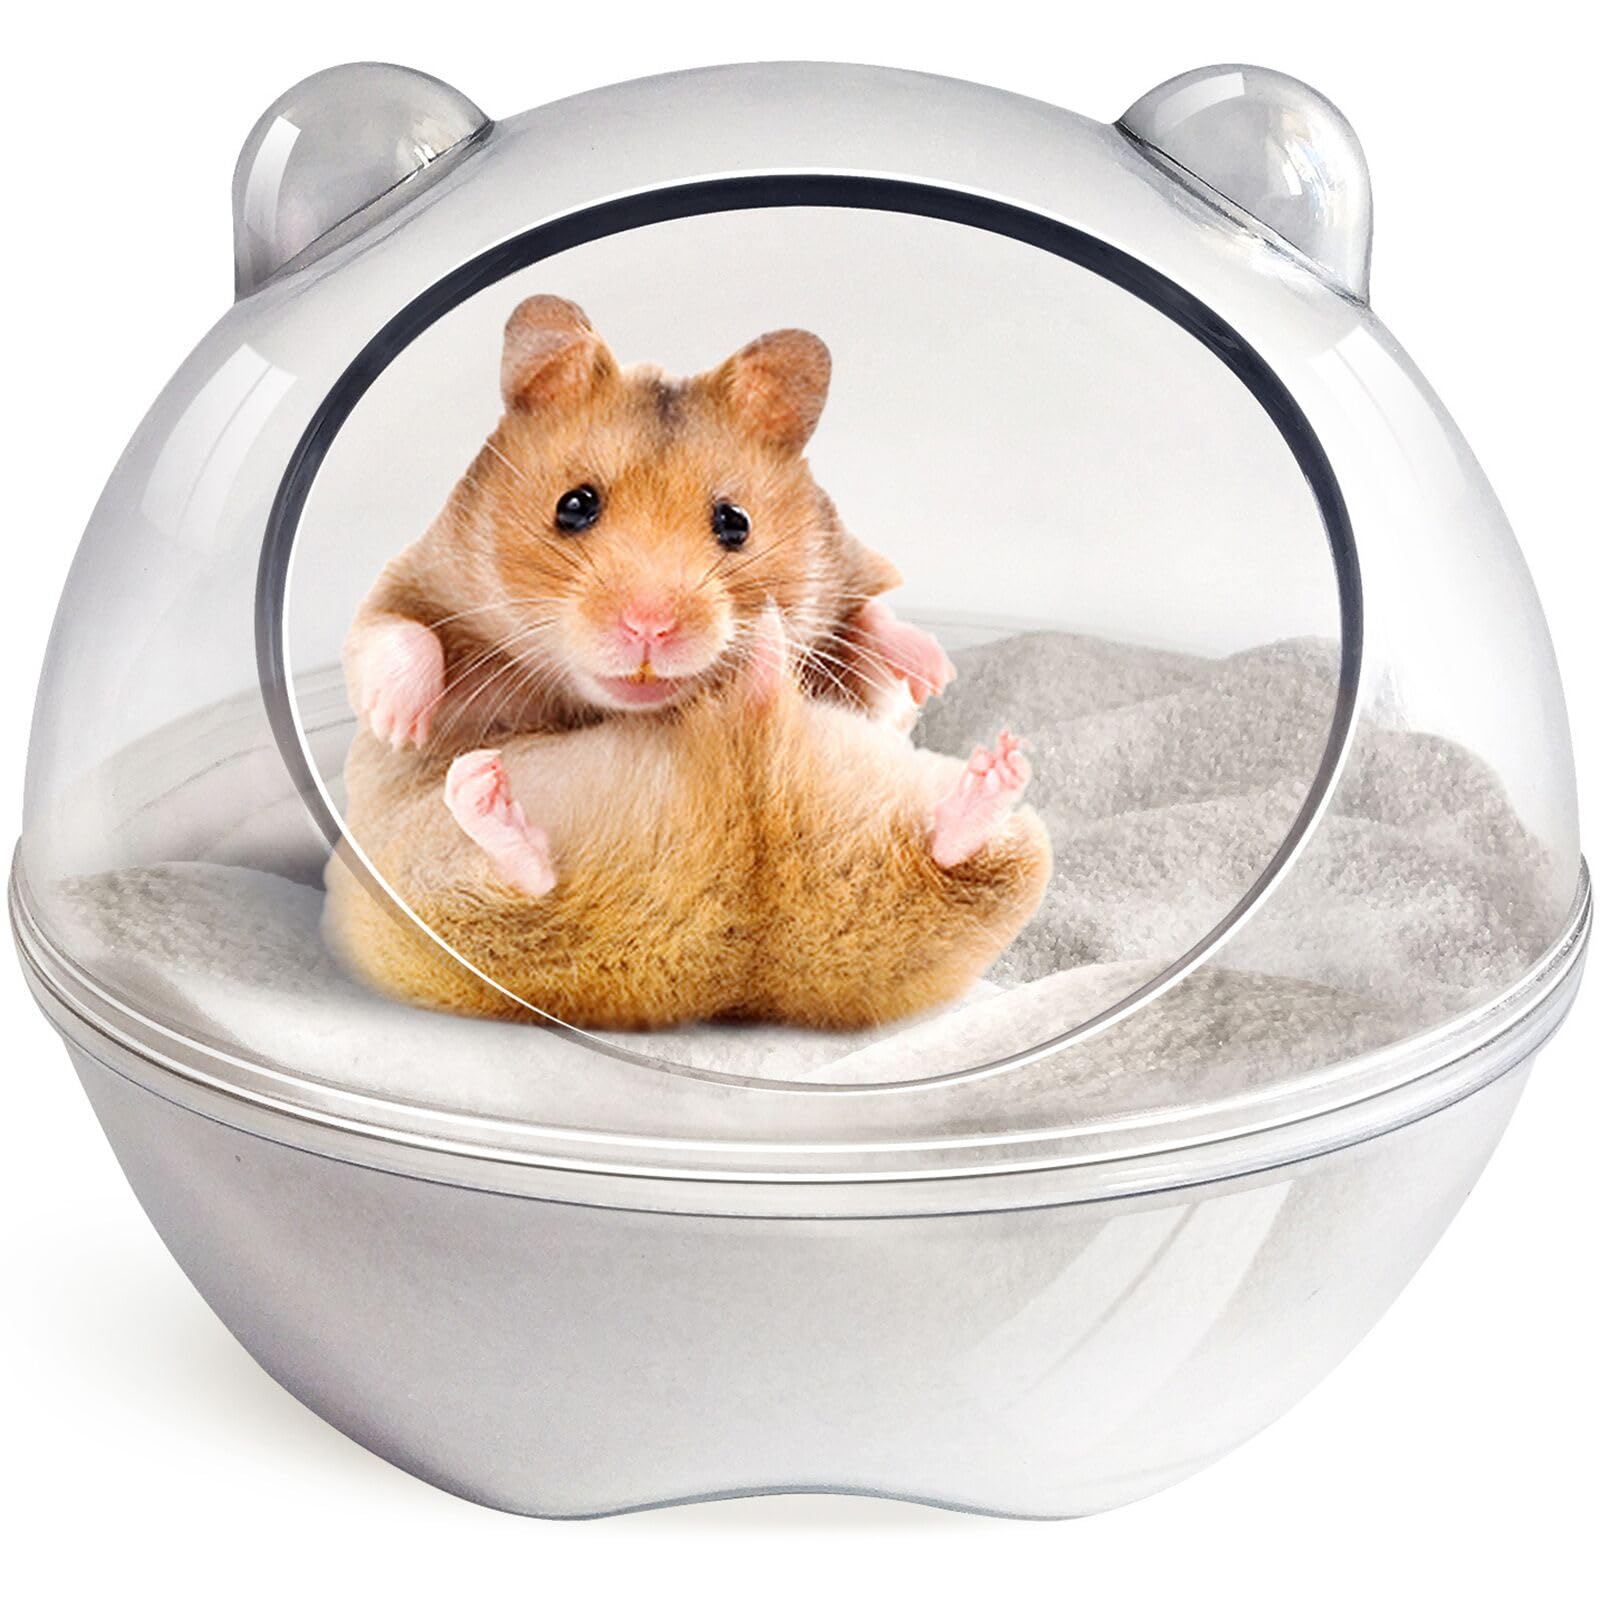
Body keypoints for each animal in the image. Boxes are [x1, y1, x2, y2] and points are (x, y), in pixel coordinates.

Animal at [343, 294, 955, 753]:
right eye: (573, 505)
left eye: (735, 523)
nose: (649, 628)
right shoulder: (414, 575)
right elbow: (396, 631)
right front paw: (397, 727)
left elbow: (873, 626)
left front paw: (936, 672)